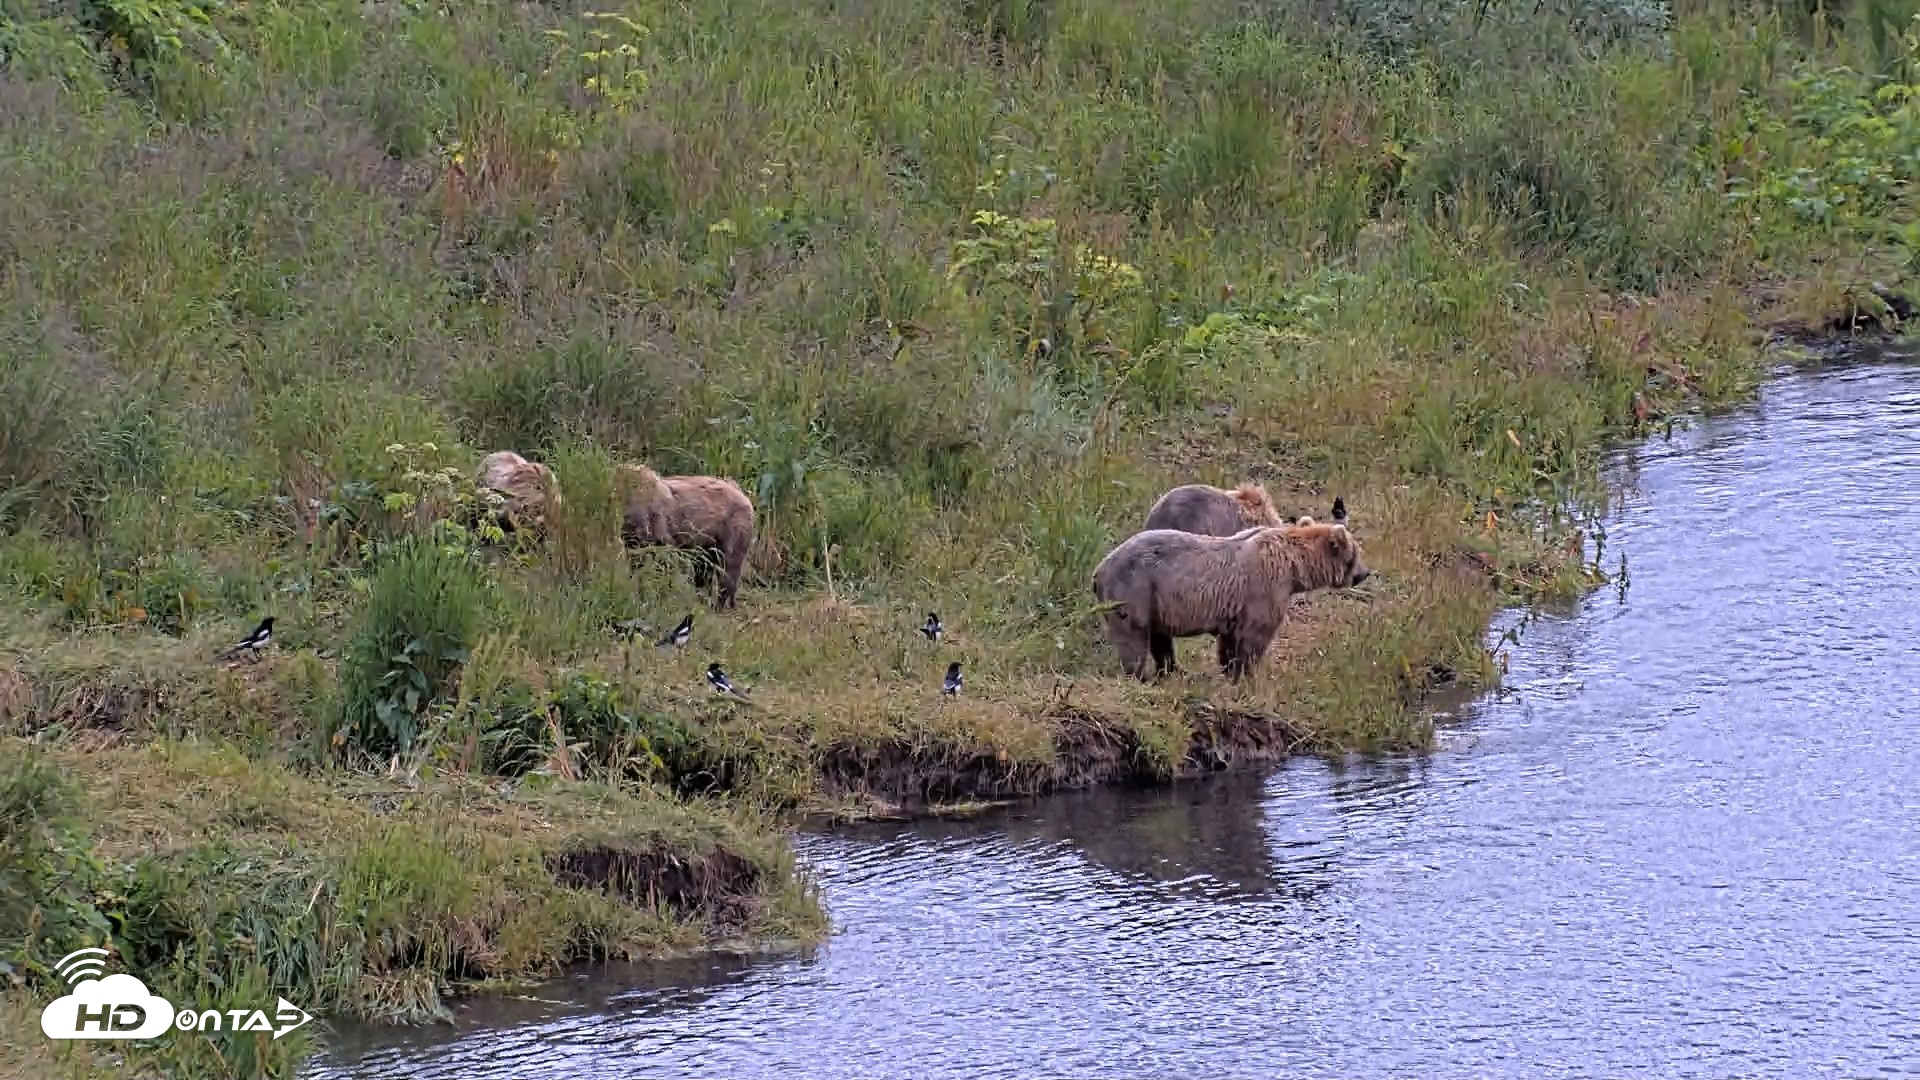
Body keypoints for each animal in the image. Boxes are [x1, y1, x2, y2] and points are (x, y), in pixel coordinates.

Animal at [617, 463, 756, 610]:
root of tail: (742, 493)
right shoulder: (636, 539)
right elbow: (638, 565)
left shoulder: (660, 530)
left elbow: (662, 563)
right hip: (707, 540)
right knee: (704, 569)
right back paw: (704, 599)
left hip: (731, 529)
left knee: (728, 566)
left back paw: (721, 603)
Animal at [1090, 520, 1371, 682]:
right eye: (1356, 553)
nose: (1365, 573)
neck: (1293, 565)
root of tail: (1098, 570)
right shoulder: (1265, 587)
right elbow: (1256, 635)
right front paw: (1248, 675)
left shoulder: (1235, 607)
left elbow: (1230, 640)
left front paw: (1230, 669)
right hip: (1134, 589)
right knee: (1133, 635)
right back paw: (1140, 674)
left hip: (1154, 600)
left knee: (1160, 639)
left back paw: (1172, 670)